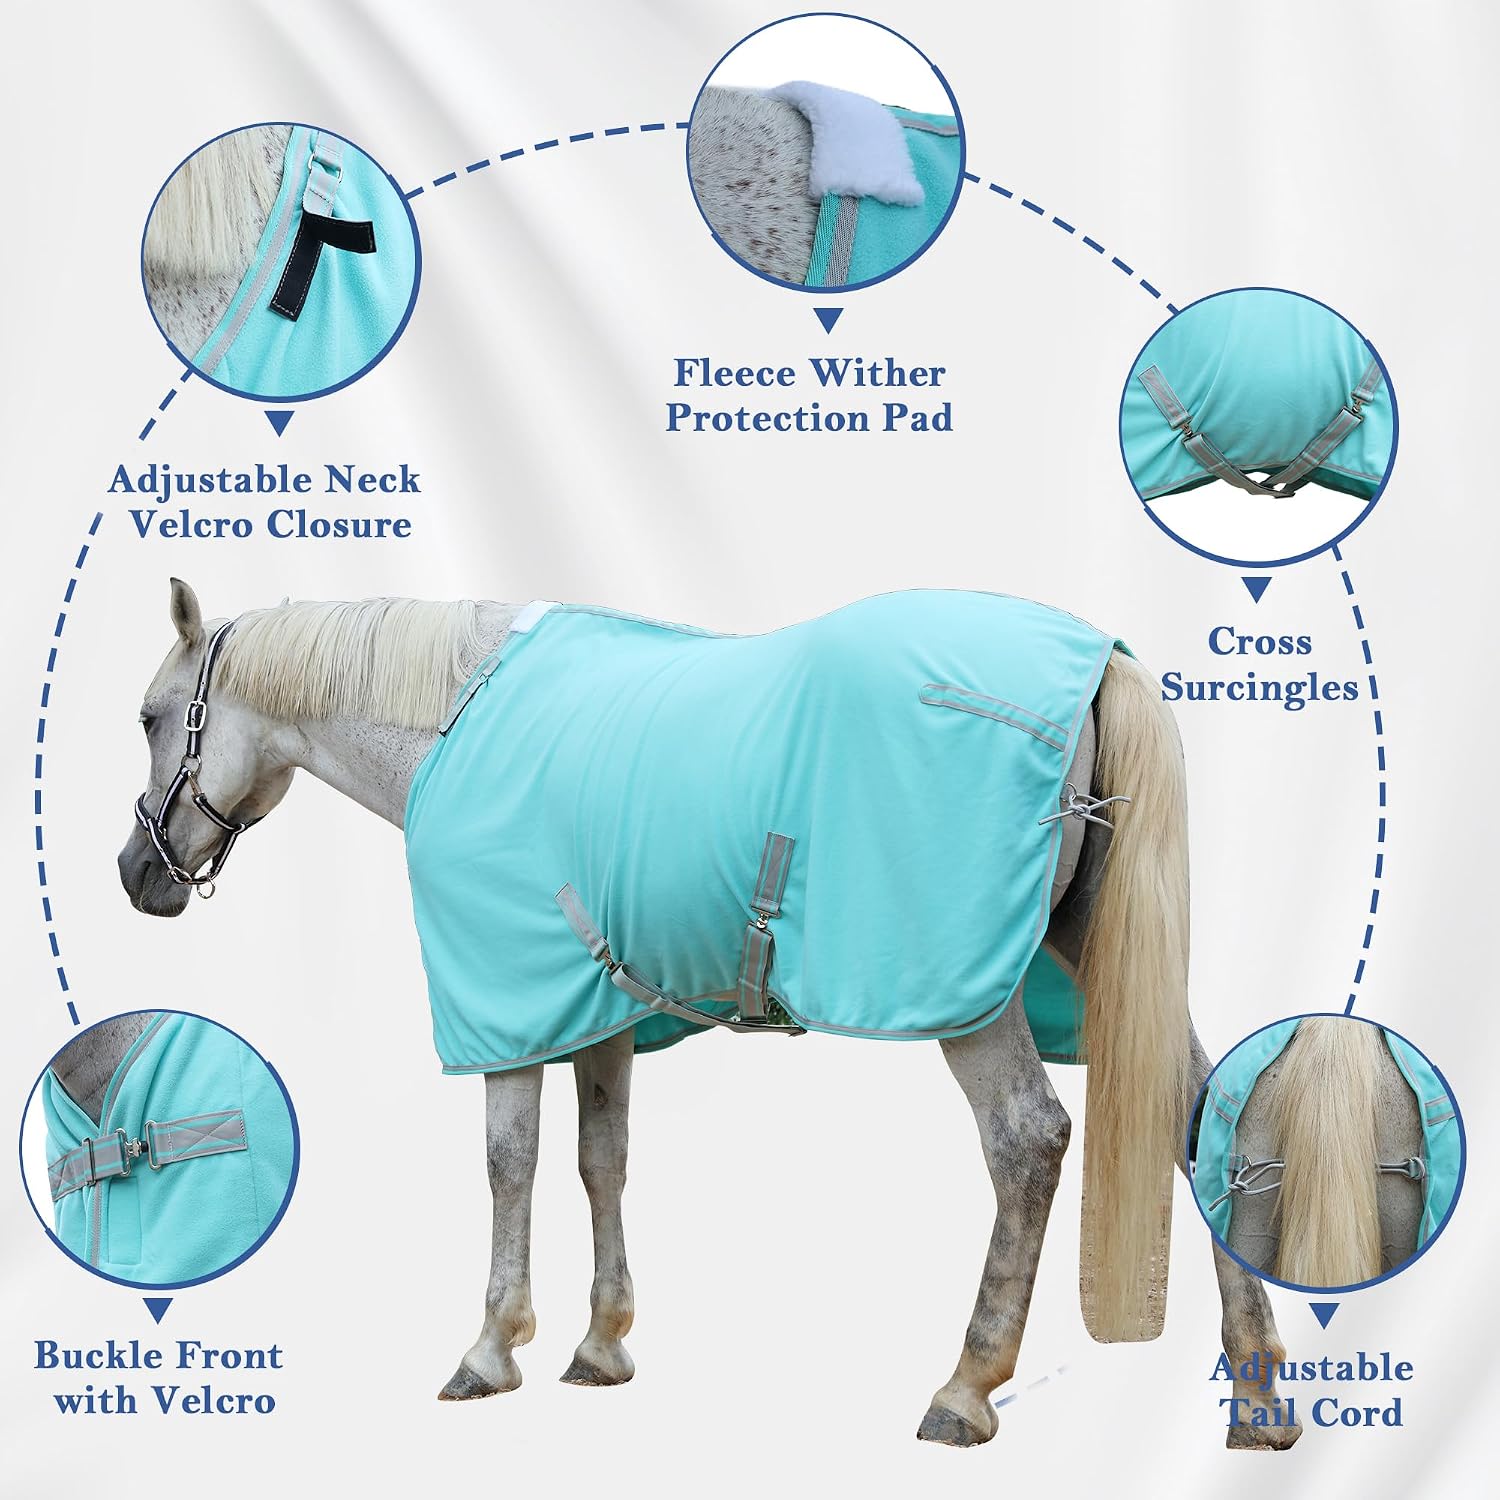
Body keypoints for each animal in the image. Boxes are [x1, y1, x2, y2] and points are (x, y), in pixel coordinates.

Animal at [116, 578, 1299, 1450]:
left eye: (150, 718)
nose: (139, 874)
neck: (456, 719)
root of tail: (1096, 657)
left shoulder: (505, 1005)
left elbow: (509, 1162)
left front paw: (491, 1349)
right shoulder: (588, 1013)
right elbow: (600, 1160)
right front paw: (600, 1345)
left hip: (973, 995)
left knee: (1027, 1140)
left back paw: (965, 1388)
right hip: (1093, 948)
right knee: (1202, 1118)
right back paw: (1257, 1398)